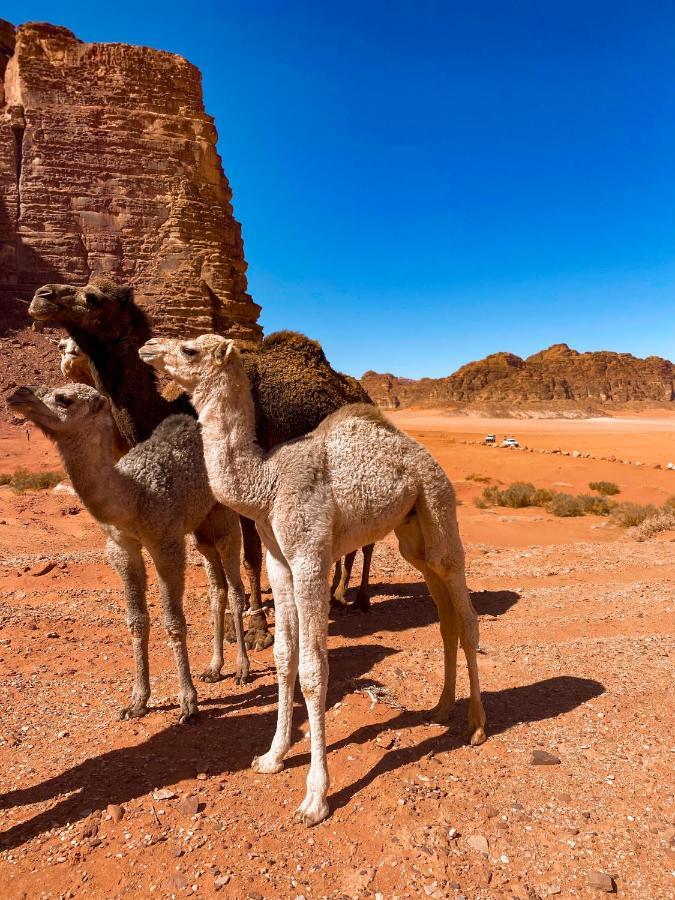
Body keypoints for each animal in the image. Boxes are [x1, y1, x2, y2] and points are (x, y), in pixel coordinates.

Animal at [7, 384, 251, 724]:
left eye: (64, 399)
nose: (17, 395)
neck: (134, 495)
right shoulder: (121, 548)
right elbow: (137, 620)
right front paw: (137, 702)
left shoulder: (166, 543)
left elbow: (173, 621)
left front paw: (188, 704)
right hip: (200, 526)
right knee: (217, 588)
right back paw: (214, 669)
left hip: (224, 514)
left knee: (236, 586)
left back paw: (243, 669)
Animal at [139, 334, 486, 828]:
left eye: (190, 350)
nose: (149, 346)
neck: (265, 484)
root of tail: (424, 455)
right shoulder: (279, 562)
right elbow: (285, 658)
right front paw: (272, 756)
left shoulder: (309, 558)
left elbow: (312, 670)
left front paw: (315, 796)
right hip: (412, 533)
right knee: (445, 614)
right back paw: (440, 709)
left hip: (438, 503)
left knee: (465, 608)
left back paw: (476, 724)